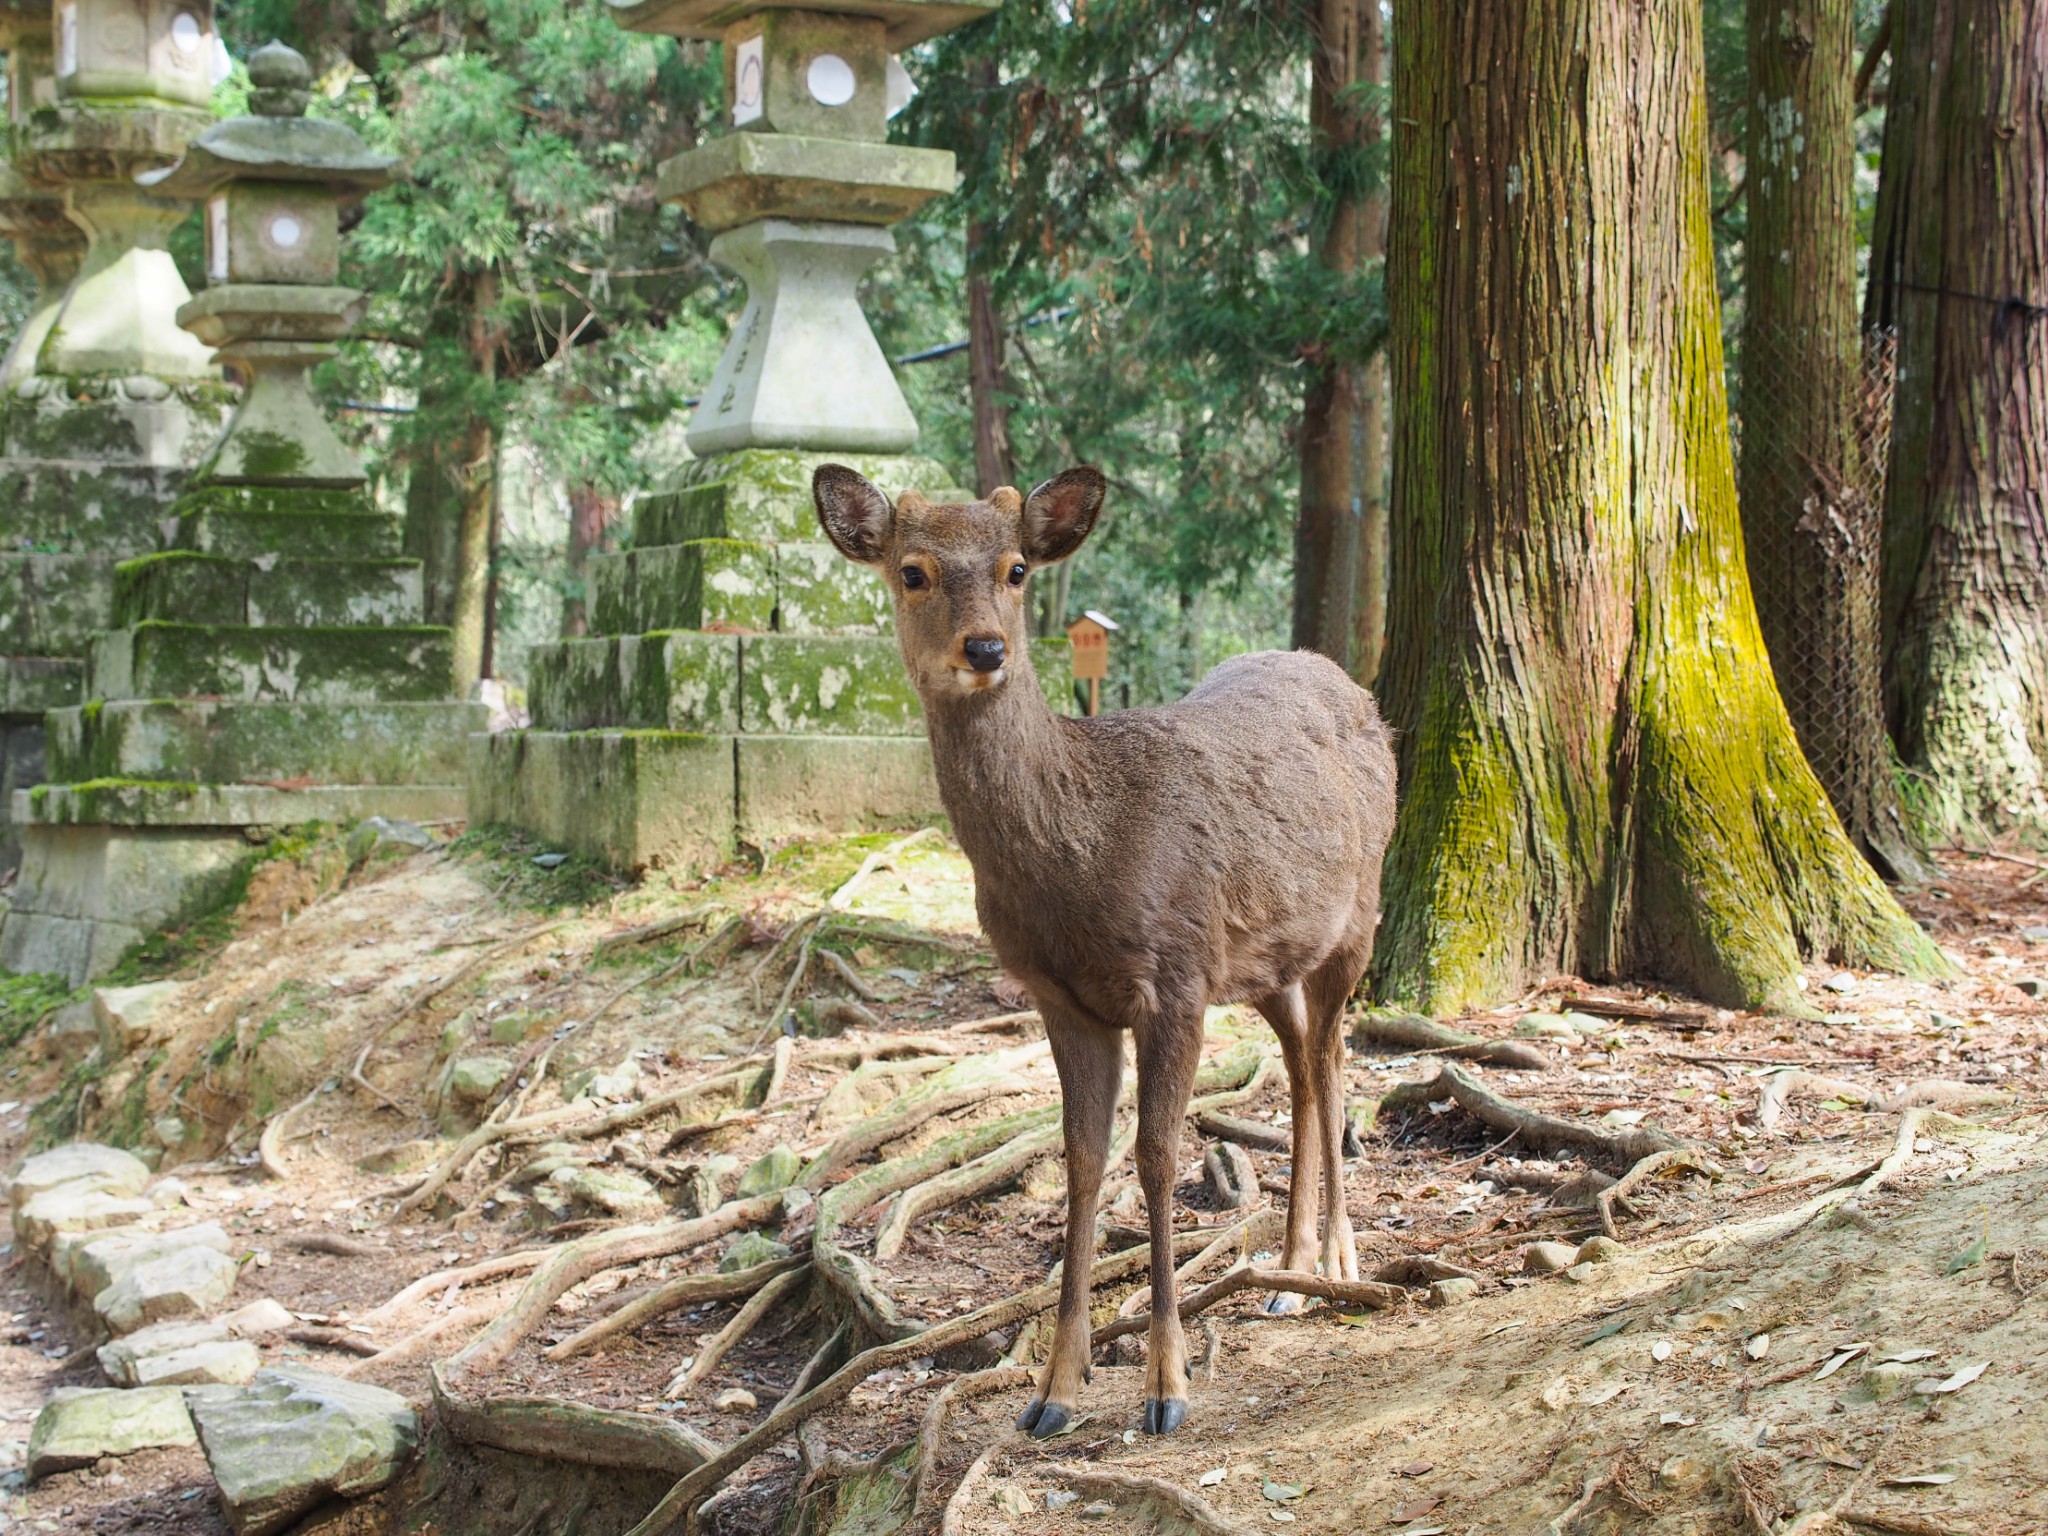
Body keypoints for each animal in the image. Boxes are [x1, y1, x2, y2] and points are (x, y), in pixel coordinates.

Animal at [806, 466, 1400, 1441]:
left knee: (1334, 1054)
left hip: (1360, 912)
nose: (985, 649)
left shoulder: (1177, 974)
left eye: (1016, 569)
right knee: (1300, 1061)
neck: (1082, 859)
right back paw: (1289, 1269)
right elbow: (1083, 1160)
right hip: (1263, 959)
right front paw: (1055, 1385)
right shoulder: (1061, 997)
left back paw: (1342, 1261)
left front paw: (1166, 1384)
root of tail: (1347, 680)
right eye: (912, 571)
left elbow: (1157, 1155)